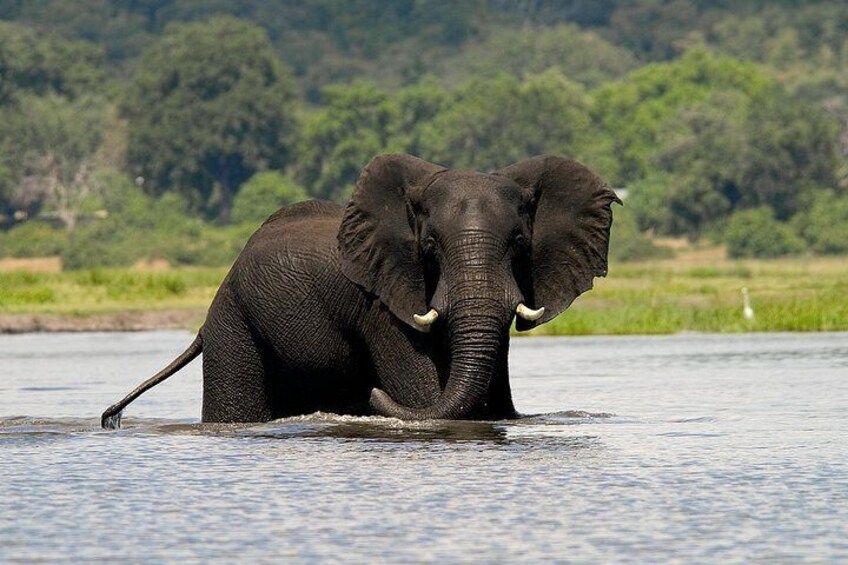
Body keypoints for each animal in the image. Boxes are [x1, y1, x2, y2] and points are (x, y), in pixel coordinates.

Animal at [99, 154, 620, 428]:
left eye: (518, 244)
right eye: (429, 246)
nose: (368, 394)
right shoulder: (382, 306)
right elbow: (423, 391)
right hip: (234, 321)